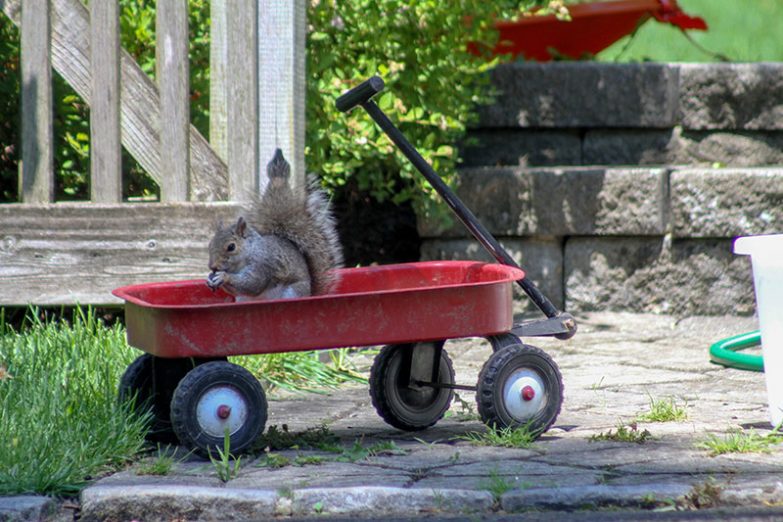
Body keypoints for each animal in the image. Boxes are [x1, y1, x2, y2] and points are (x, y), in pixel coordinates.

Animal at [207, 148, 344, 298]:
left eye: (231, 247)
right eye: (210, 245)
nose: (213, 267)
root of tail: (310, 294)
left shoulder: (264, 264)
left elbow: (253, 284)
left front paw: (224, 277)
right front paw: (210, 278)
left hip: (292, 293)